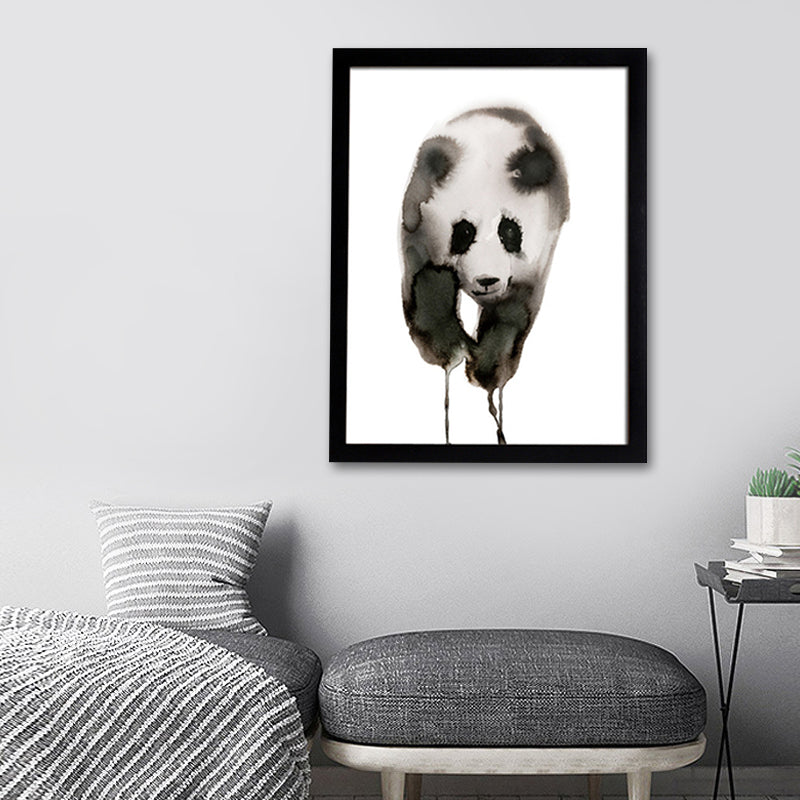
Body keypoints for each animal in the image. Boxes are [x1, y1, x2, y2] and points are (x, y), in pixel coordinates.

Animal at [401, 107, 570, 444]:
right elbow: (424, 283)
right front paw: (449, 348)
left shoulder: (537, 258)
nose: (487, 280)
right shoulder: (416, 221)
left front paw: (488, 371)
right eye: (464, 232)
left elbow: (512, 314)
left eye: (509, 231)